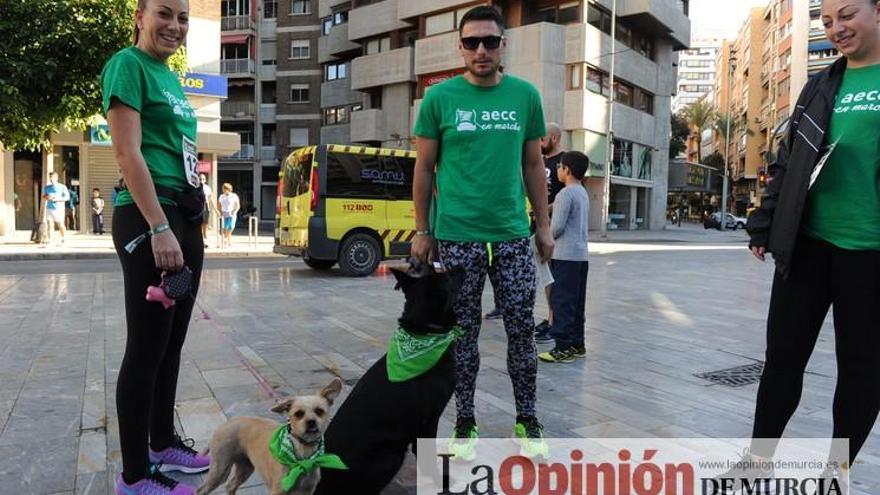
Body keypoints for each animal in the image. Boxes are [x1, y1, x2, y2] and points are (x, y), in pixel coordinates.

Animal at [198, 378, 346, 494]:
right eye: (298, 414)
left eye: (319, 411)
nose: (311, 422)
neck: (304, 457)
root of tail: (222, 426)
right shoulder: (277, 491)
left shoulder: (307, 492)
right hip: (220, 470)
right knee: (201, 490)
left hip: (245, 467)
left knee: (230, 486)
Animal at [316, 262, 468, 494]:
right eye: (448, 276)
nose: (462, 266)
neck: (423, 335)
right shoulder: (429, 420)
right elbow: (428, 457)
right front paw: (442, 481)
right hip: (391, 455)